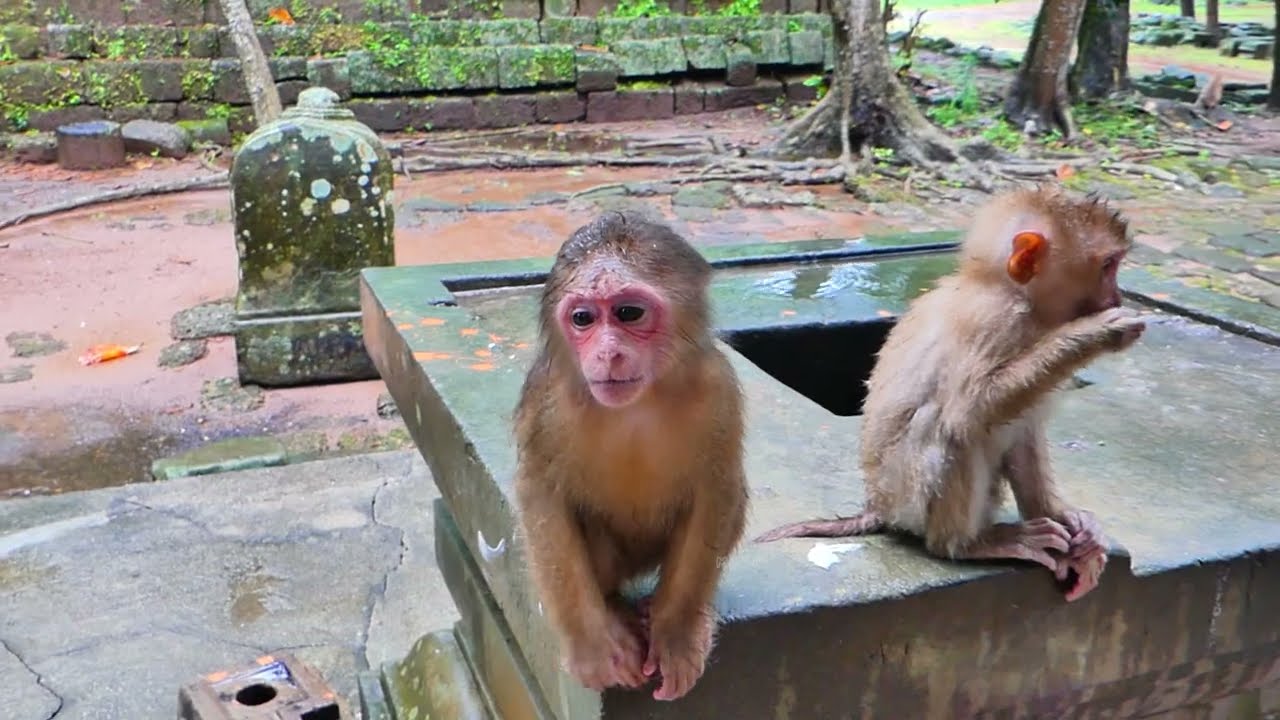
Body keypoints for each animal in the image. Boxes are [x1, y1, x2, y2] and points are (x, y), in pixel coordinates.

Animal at [513, 210, 748, 702]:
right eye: (583, 318)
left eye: (628, 313)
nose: (607, 353)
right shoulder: (547, 395)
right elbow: (539, 490)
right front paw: (591, 645)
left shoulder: (717, 386)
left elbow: (719, 487)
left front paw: (676, 632)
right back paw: (614, 607)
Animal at [755, 187, 1146, 603]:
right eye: (1108, 265)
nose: (1116, 296)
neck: (1010, 292)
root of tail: (877, 505)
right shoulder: (994, 320)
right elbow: (970, 410)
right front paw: (1095, 333)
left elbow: (1024, 434)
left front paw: (1067, 521)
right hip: (906, 494)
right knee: (951, 428)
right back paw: (965, 544)